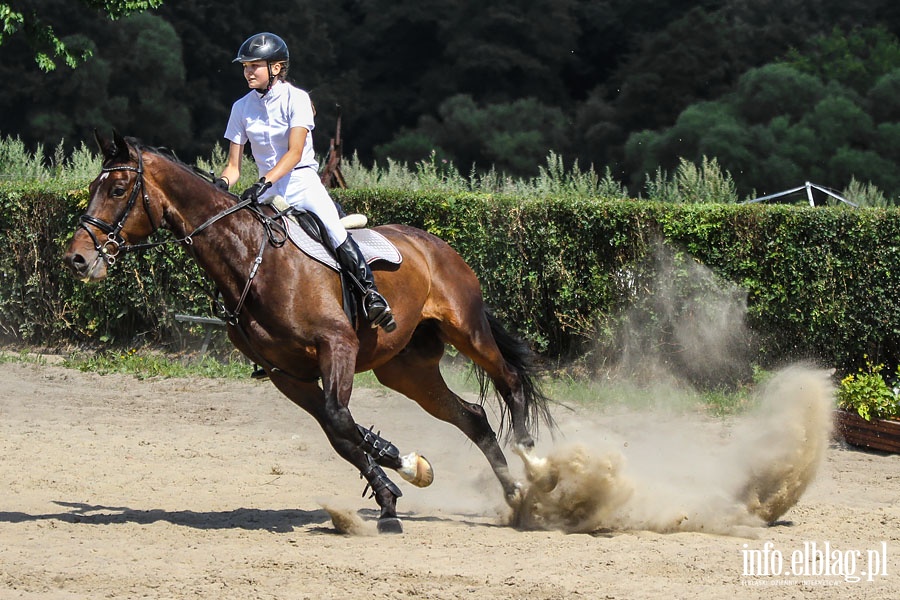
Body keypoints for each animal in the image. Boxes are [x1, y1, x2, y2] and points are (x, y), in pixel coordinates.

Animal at [63, 130, 552, 528]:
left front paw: (396, 478)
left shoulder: (337, 345)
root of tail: (435, 243)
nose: (78, 259)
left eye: (119, 189)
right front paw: (399, 478)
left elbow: (339, 419)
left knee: (509, 380)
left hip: (466, 330)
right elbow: (341, 432)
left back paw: (535, 465)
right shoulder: (287, 374)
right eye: (91, 188)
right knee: (472, 416)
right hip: (405, 369)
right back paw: (514, 493)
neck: (253, 259)